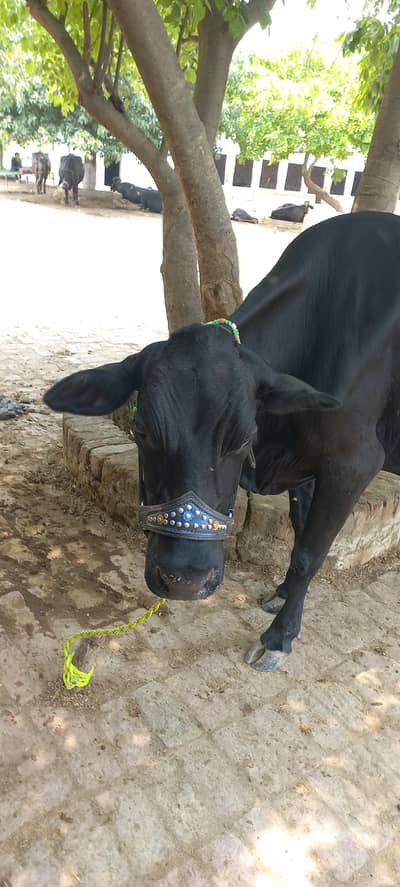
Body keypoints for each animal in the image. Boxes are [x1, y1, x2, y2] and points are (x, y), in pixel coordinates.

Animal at [43, 212, 400, 674]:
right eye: (141, 430)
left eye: (245, 437)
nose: (185, 581)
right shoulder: (308, 471)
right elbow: (299, 532)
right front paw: (283, 594)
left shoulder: (352, 464)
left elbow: (310, 552)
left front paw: (280, 637)